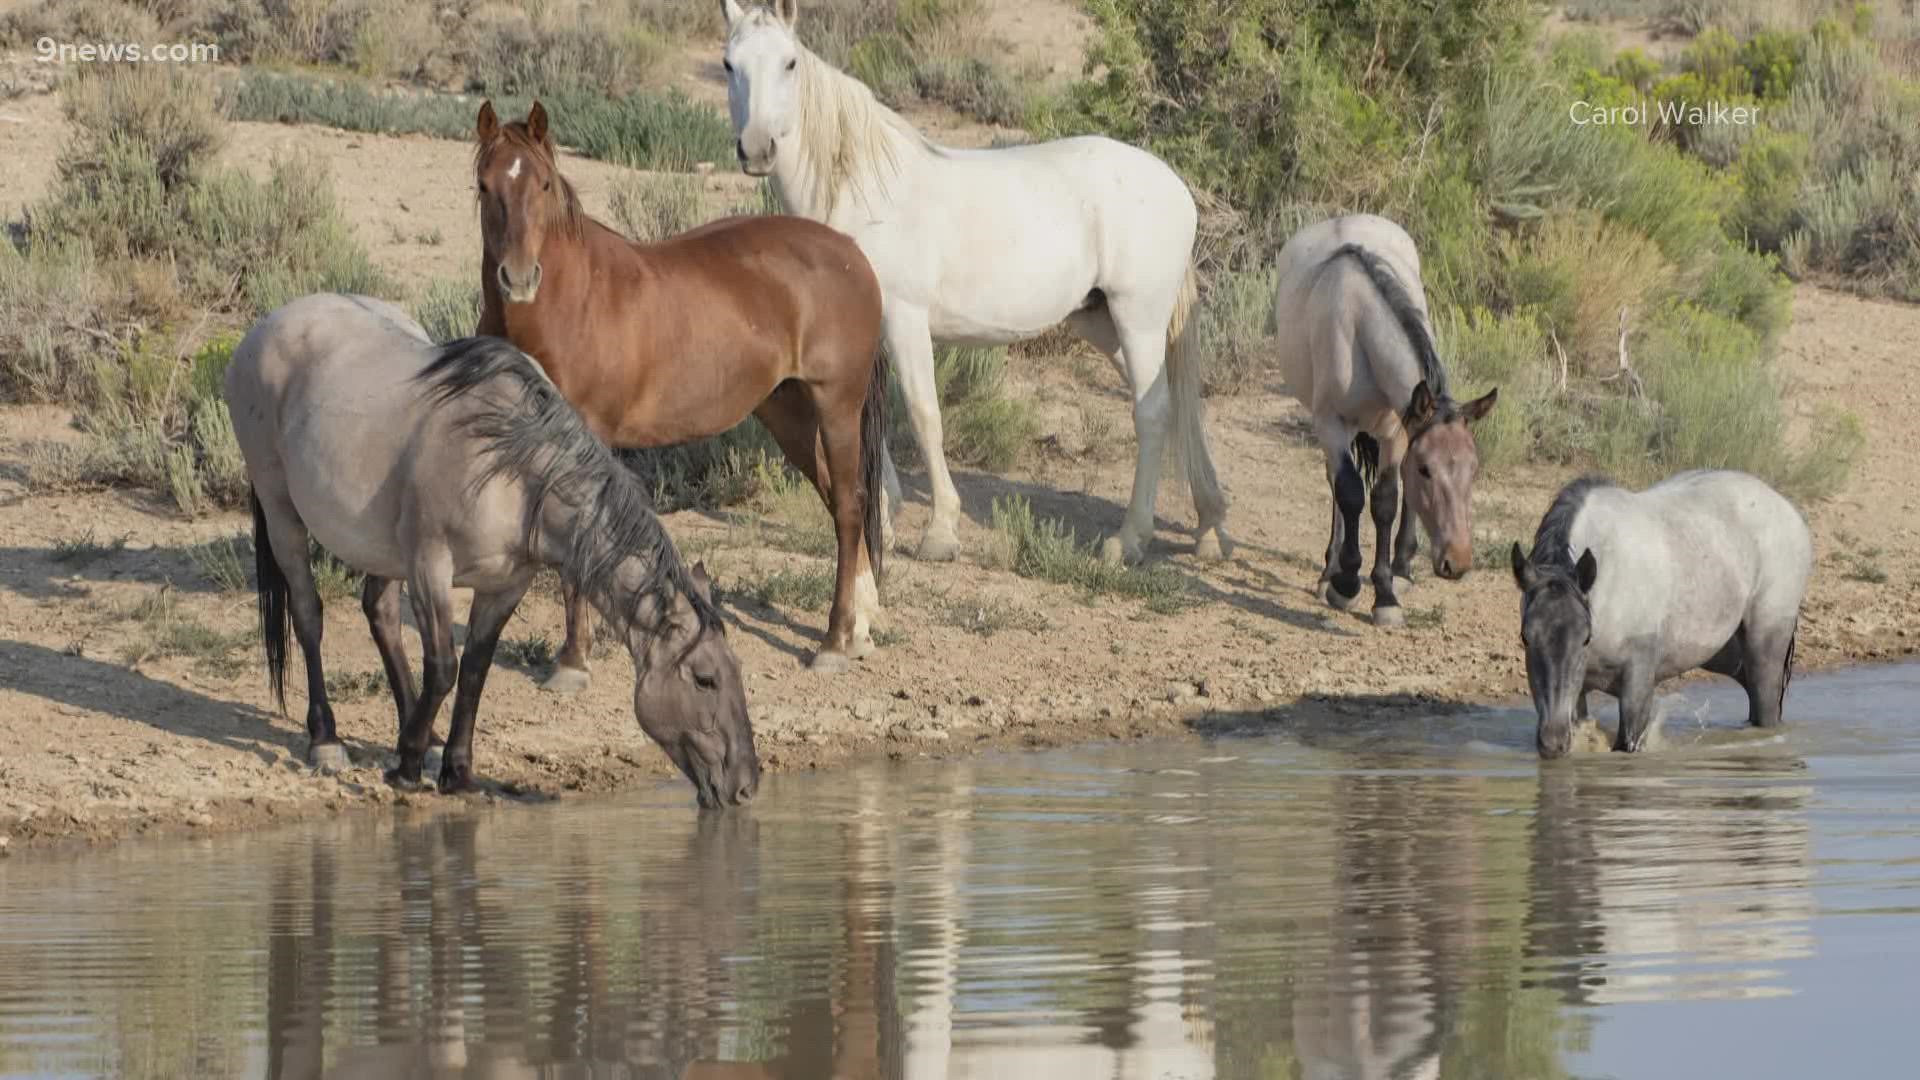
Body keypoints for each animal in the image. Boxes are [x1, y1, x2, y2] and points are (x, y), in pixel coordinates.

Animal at [224, 290, 756, 803]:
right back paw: (327, 740)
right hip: (281, 510)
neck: (513, 469)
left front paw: (455, 770)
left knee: (381, 614)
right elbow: (444, 668)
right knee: (308, 616)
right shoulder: (430, 566)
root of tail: (262, 329)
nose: (746, 785)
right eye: (705, 678)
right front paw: (406, 767)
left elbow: (475, 670)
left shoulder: (504, 585)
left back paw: (425, 735)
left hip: (382, 548)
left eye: (737, 670)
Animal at [472, 96, 890, 684]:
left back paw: (832, 642)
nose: (518, 278)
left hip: (836, 408)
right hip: (789, 417)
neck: (569, 302)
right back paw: (857, 631)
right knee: (838, 504)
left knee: (851, 509)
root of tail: (852, 254)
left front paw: (573, 661)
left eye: (545, 185)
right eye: (484, 185)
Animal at [721, 0, 1228, 568]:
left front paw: (940, 531)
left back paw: (1129, 539)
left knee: (1153, 412)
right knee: (1177, 408)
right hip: (1104, 324)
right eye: (728, 64)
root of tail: (1175, 186)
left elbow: (924, 414)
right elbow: (868, 420)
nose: (756, 149)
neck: (858, 188)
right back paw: (1209, 527)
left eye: (789, 63)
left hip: (1137, 319)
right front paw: (884, 520)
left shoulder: (905, 321)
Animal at [1274, 214, 1497, 626]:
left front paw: (1386, 593)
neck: (1359, 332)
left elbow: (1386, 501)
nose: (1457, 561)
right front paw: (1346, 582)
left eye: (1474, 469)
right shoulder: (1331, 424)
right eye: (1426, 469)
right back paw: (1330, 571)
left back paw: (1403, 570)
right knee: (1336, 484)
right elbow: (1348, 492)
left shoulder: (1396, 432)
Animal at [1512, 468, 1812, 757]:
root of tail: (1789, 511)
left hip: (1765, 649)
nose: (1553, 742)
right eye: (1525, 637)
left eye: (1585, 637)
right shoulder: (1578, 693)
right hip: (1727, 656)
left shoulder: (1637, 685)